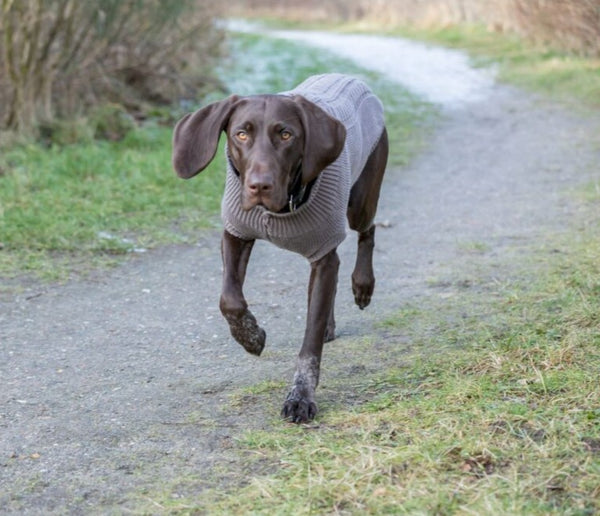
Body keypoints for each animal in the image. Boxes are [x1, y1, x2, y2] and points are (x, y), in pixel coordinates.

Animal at [173, 75, 390, 424]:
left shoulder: (322, 255)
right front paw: (250, 336)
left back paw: (363, 285)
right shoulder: (236, 233)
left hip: (361, 200)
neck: (276, 210)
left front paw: (301, 396)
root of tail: (356, 81)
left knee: (367, 232)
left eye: (286, 134)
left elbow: (309, 345)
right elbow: (229, 300)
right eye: (241, 133)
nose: (259, 186)